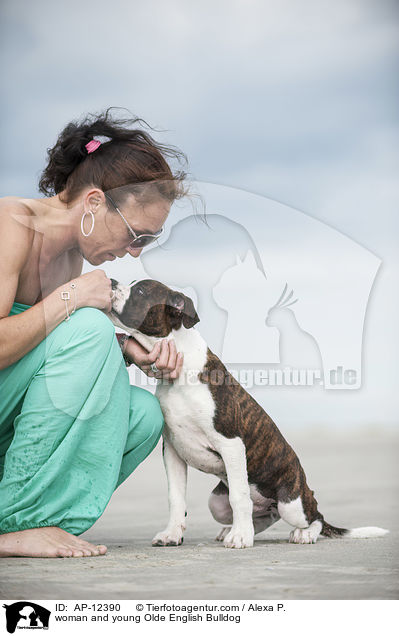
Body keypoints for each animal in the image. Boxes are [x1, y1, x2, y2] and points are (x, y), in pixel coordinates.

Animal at [108, 280, 388, 548]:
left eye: (141, 290)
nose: (110, 281)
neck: (180, 371)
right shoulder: (174, 451)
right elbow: (176, 498)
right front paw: (172, 534)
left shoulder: (230, 443)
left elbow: (239, 496)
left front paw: (241, 538)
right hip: (217, 504)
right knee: (262, 515)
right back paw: (232, 529)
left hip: (291, 503)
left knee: (315, 517)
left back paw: (301, 534)